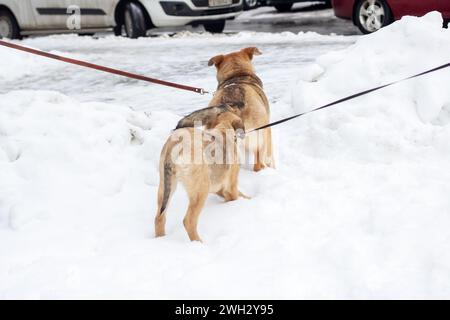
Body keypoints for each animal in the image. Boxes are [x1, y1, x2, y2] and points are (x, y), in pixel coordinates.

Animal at [155, 109, 246, 241]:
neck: (223, 129)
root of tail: (178, 142)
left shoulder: (219, 188)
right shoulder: (231, 186)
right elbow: (236, 196)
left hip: (165, 187)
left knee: (159, 218)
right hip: (201, 189)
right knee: (189, 221)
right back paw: (198, 243)